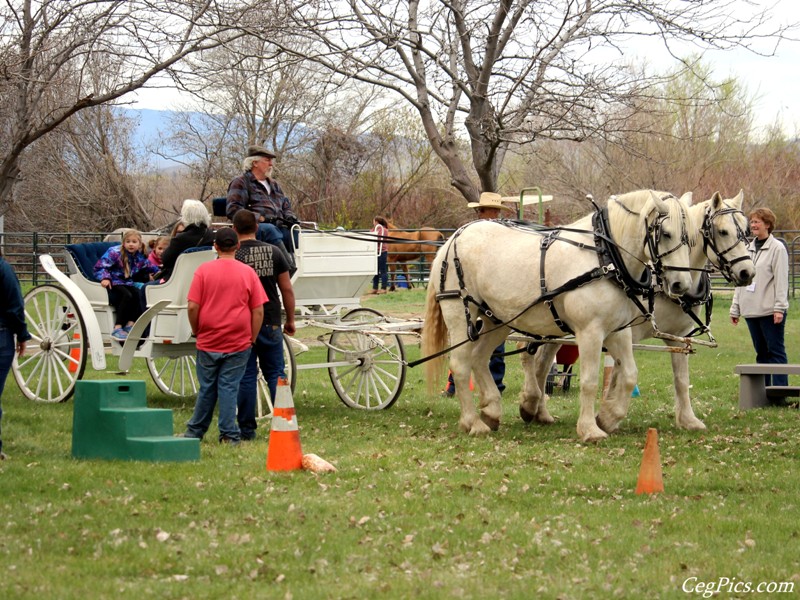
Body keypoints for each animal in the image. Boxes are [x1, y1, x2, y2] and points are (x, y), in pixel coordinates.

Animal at [424, 190, 692, 442]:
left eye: (689, 238)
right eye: (665, 233)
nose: (682, 284)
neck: (604, 256)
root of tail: (452, 240)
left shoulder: (618, 331)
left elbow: (629, 375)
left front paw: (607, 418)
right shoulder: (590, 331)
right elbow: (589, 381)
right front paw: (589, 429)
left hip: (497, 320)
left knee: (479, 358)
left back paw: (491, 411)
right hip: (459, 313)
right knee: (460, 364)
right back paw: (472, 422)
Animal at [520, 190, 752, 428]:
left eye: (746, 231)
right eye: (723, 231)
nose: (747, 272)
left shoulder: (680, 336)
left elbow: (681, 379)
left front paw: (688, 419)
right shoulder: (627, 332)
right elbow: (619, 373)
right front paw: (608, 415)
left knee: (543, 361)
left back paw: (540, 411)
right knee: (527, 353)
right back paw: (530, 401)